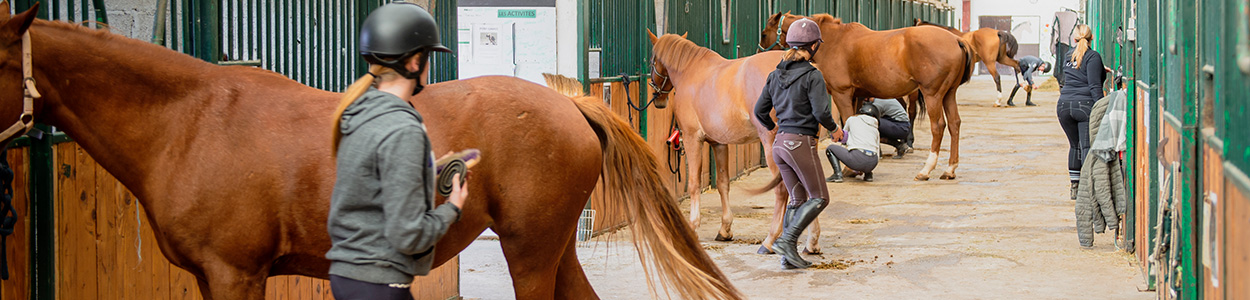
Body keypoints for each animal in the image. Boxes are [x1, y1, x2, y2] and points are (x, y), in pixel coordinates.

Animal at [650, 31, 825, 253]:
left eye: (652, 60)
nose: (658, 98)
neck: (691, 72)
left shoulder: (692, 138)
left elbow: (694, 183)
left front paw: (693, 227)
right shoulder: (719, 143)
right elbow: (723, 183)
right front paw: (725, 230)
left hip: (773, 146)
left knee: (782, 189)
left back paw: (769, 241)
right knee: (810, 185)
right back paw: (812, 241)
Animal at [760, 13, 975, 180]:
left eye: (763, 33)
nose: (758, 51)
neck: (834, 42)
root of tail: (957, 40)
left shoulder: (842, 94)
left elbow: (847, 123)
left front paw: (849, 169)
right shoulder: (857, 96)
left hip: (933, 94)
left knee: (938, 126)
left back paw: (926, 170)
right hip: (948, 94)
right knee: (955, 124)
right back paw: (950, 169)